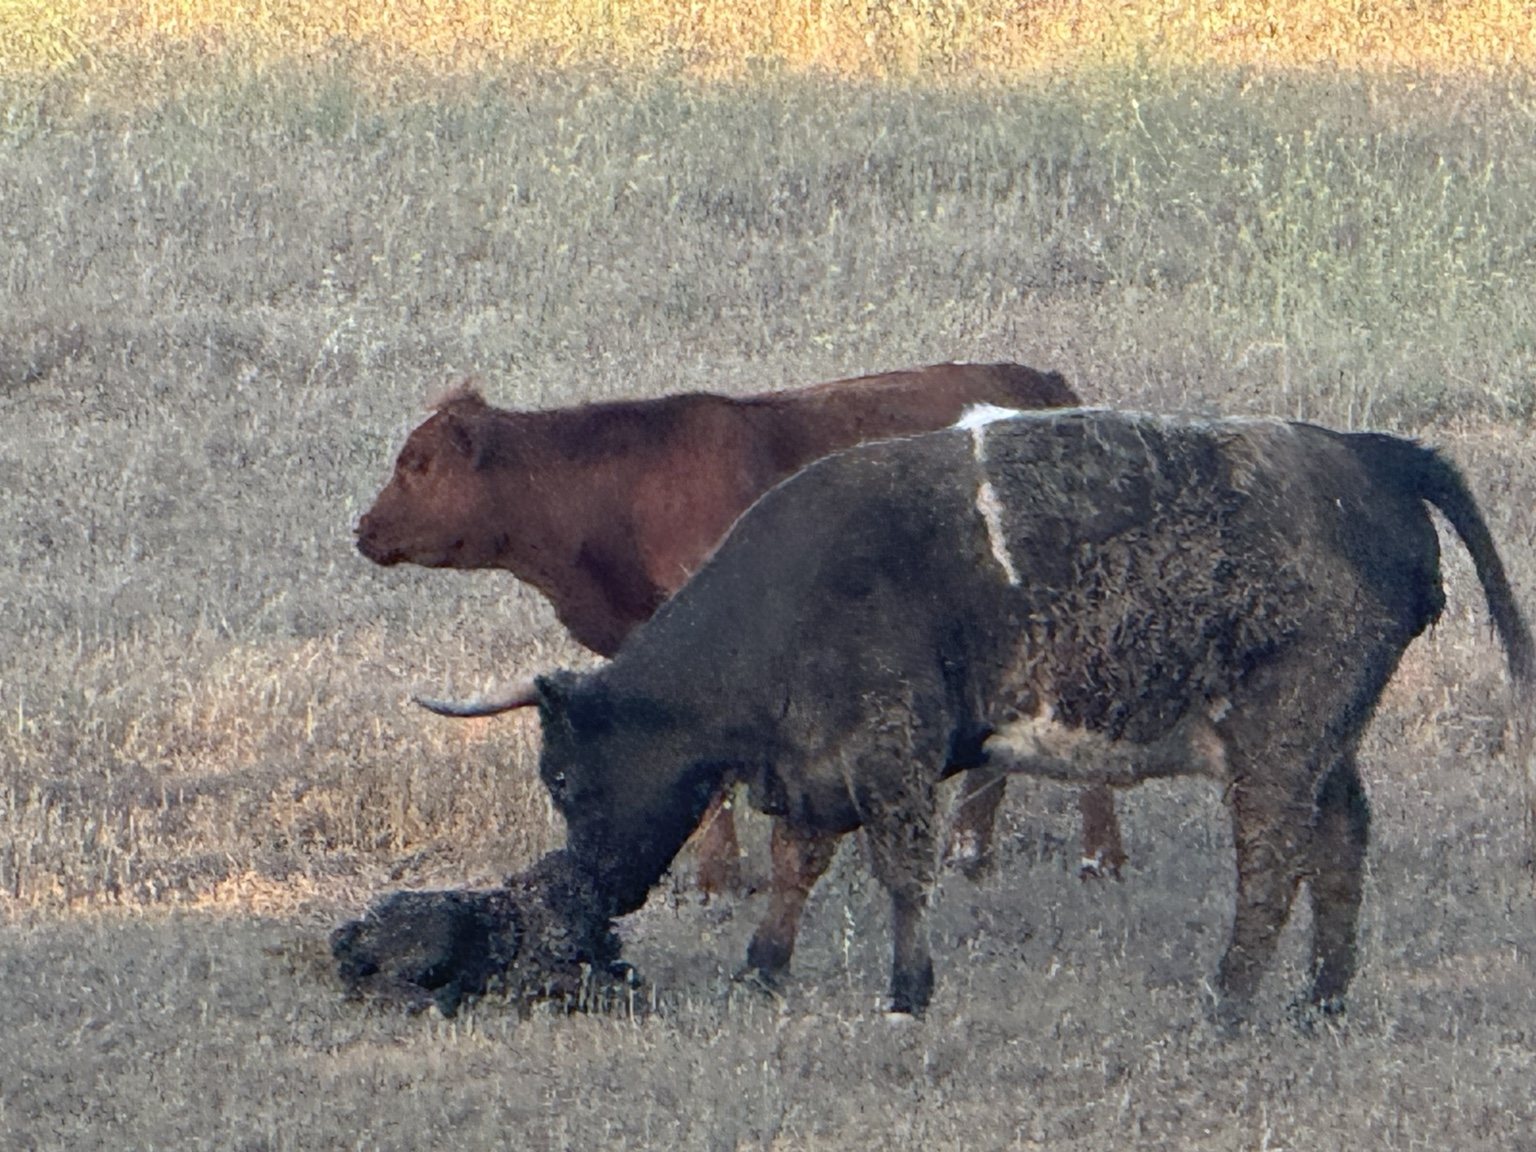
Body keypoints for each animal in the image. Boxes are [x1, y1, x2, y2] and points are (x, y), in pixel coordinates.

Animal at [357, 363, 1116, 893]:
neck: (619, 490)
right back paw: (973, 855)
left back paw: (1093, 857)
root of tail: (1047, 388)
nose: (362, 528)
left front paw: (719, 880)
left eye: (417, 465)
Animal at [482, 407, 1531, 1021]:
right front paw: (763, 967)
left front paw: (908, 991)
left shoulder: (892, 752)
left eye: (564, 776)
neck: (788, 593)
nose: (594, 891)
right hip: (1328, 743)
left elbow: (902, 873)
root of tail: (1369, 454)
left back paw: (1228, 1001)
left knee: (1275, 862)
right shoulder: (818, 768)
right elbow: (795, 866)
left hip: (1280, 737)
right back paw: (1322, 997)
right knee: (1342, 844)